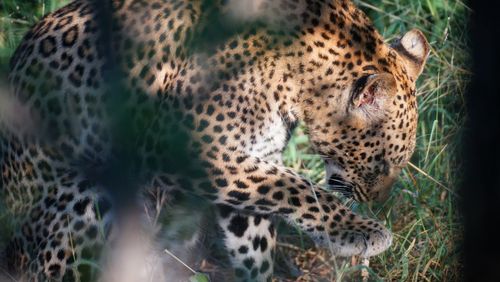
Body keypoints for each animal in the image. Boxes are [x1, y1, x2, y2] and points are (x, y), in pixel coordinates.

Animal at [0, 0, 430, 280]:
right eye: (383, 163)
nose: (377, 203)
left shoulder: (248, 157)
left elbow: (257, 231)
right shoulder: (178, 148)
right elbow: (298, 188)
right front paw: (362, 233)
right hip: (83, 192)